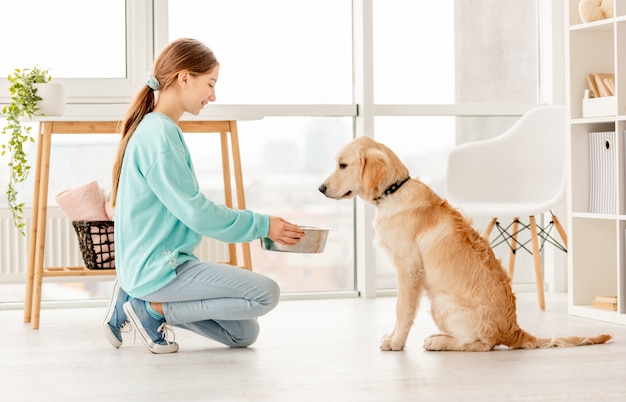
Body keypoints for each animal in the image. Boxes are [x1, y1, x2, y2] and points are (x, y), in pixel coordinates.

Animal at [316, 137, 608, 350]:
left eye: (343, 165)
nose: (320, 188)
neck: (394, 191)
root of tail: (513, 330)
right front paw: (391, 336)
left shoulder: (409, 269)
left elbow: (402, 309)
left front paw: (396, 342)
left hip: (440, 304)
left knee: (481, 345)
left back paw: (440, 342)